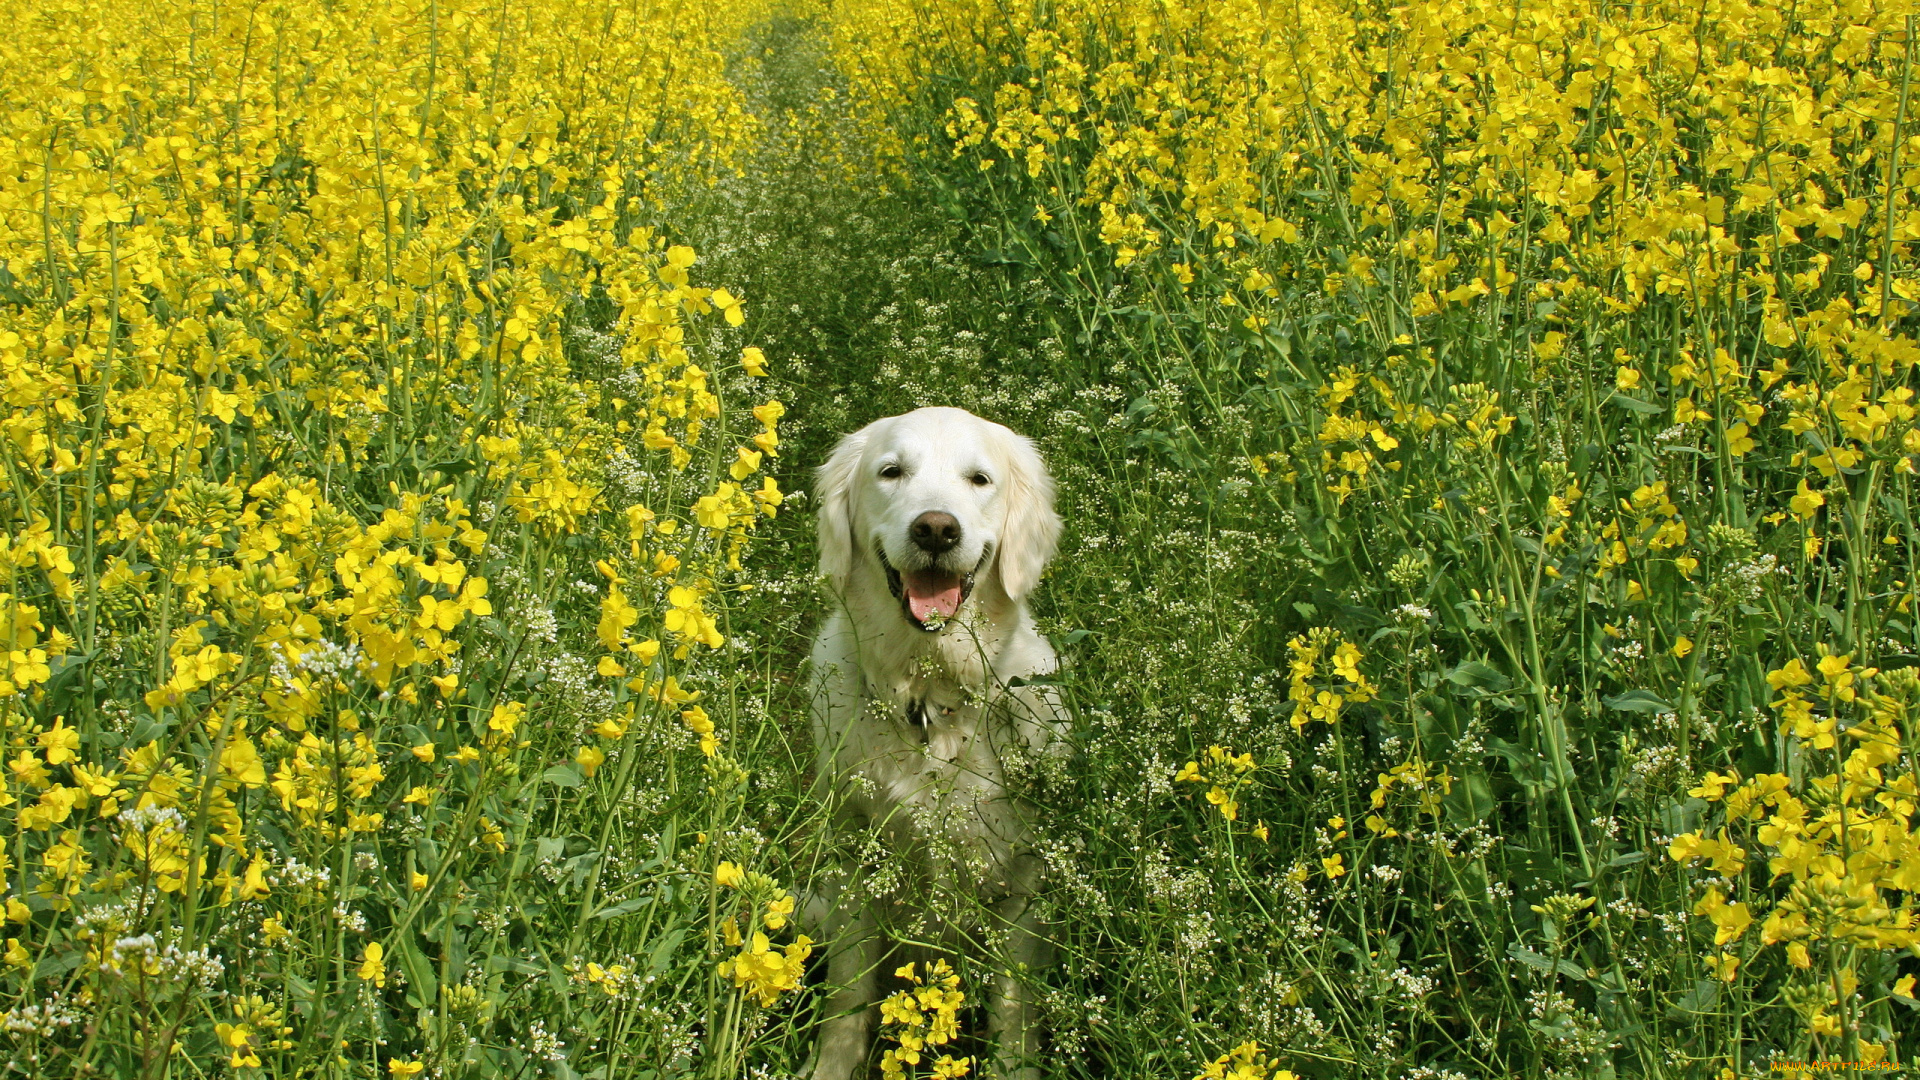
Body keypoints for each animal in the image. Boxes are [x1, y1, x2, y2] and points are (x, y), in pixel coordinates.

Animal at [806, 405, 1067, 1076]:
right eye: (891, 471)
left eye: (979, 479)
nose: (935, 530)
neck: (930, 705)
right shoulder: (856, 859)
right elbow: (847, 994)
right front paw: (833, 1065)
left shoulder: (1023, 882)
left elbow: (1013, 1006)